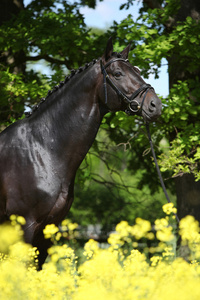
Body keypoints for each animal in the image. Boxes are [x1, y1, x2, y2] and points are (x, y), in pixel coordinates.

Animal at [0, 38, 161, 268]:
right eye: (118, 73)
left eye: (138, 70)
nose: (155, 105)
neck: (41, 150)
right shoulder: (24, 227)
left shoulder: (47, 232)